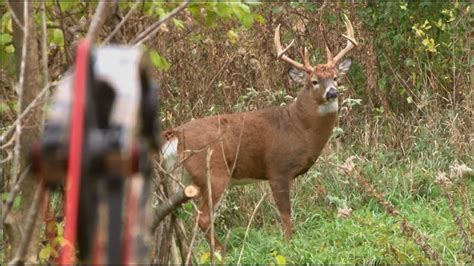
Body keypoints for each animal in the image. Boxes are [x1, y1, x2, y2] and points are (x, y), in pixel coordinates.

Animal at [159, 15, 356, 250]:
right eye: (314, 81)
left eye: (335, 77)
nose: (332, 93)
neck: (300, 128)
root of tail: (176, 134)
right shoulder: (277, 168)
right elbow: (285, 215)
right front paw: (289, 245)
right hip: (213, 173)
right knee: (203, 217)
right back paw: (221, 251)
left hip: (180, 178)